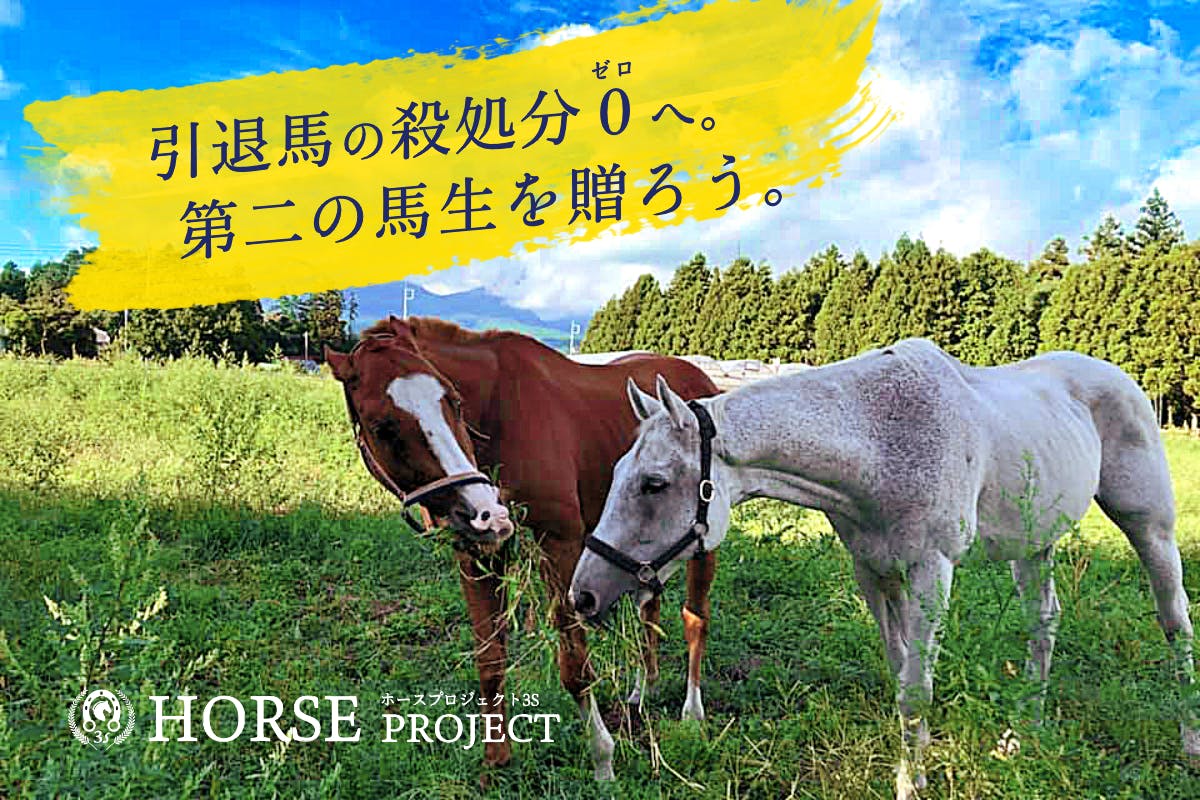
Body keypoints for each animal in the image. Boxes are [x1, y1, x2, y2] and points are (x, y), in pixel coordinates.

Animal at [324, 316, 721, 781]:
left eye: (454, 401)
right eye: (381, 427)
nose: (487, 514)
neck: (503, 414)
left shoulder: (560, 545)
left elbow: (575, 664)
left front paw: (603, 760)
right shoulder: (477, 555)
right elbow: (490, 659)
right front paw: (496, 761)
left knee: (694, 618)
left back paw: (692, 714)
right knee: (649, 610)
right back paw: (644, 688)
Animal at [569, 338, 1199, 799]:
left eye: (653, 483)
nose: (583, 595)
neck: (881, 439)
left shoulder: (930, 571)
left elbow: (915, 688)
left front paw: (908, 784)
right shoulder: (874, 572)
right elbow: (901, 673)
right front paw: (916, 765)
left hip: (1149, 526)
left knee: (1174, 621)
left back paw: (1189, 741)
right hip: (1034, 543)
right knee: (1043, 621)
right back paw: (1026, 730)